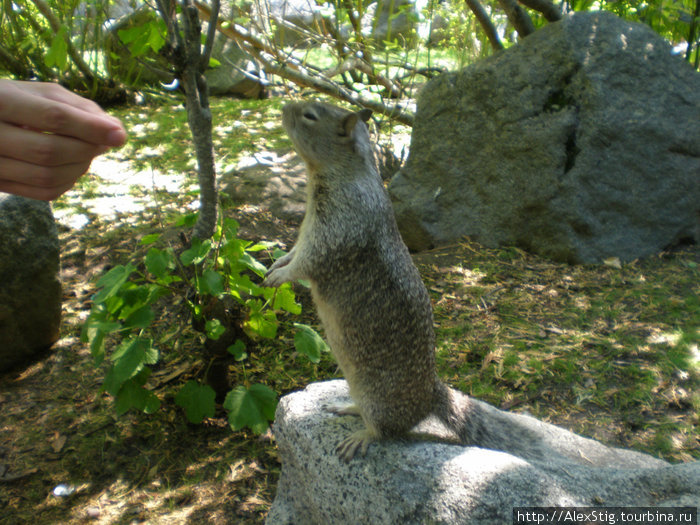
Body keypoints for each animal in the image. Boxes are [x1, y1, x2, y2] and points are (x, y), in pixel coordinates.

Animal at [264, 100, 476, 460]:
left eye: (310, 116)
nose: (282, 106)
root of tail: (429, 397)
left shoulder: (336, 228)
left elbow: (308, 261)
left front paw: (281, 275)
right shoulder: (308, 228)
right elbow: (295, 251)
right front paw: (277, 262)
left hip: (378, 398)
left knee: (386, 429)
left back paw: (361, 436)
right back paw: (345, 407)